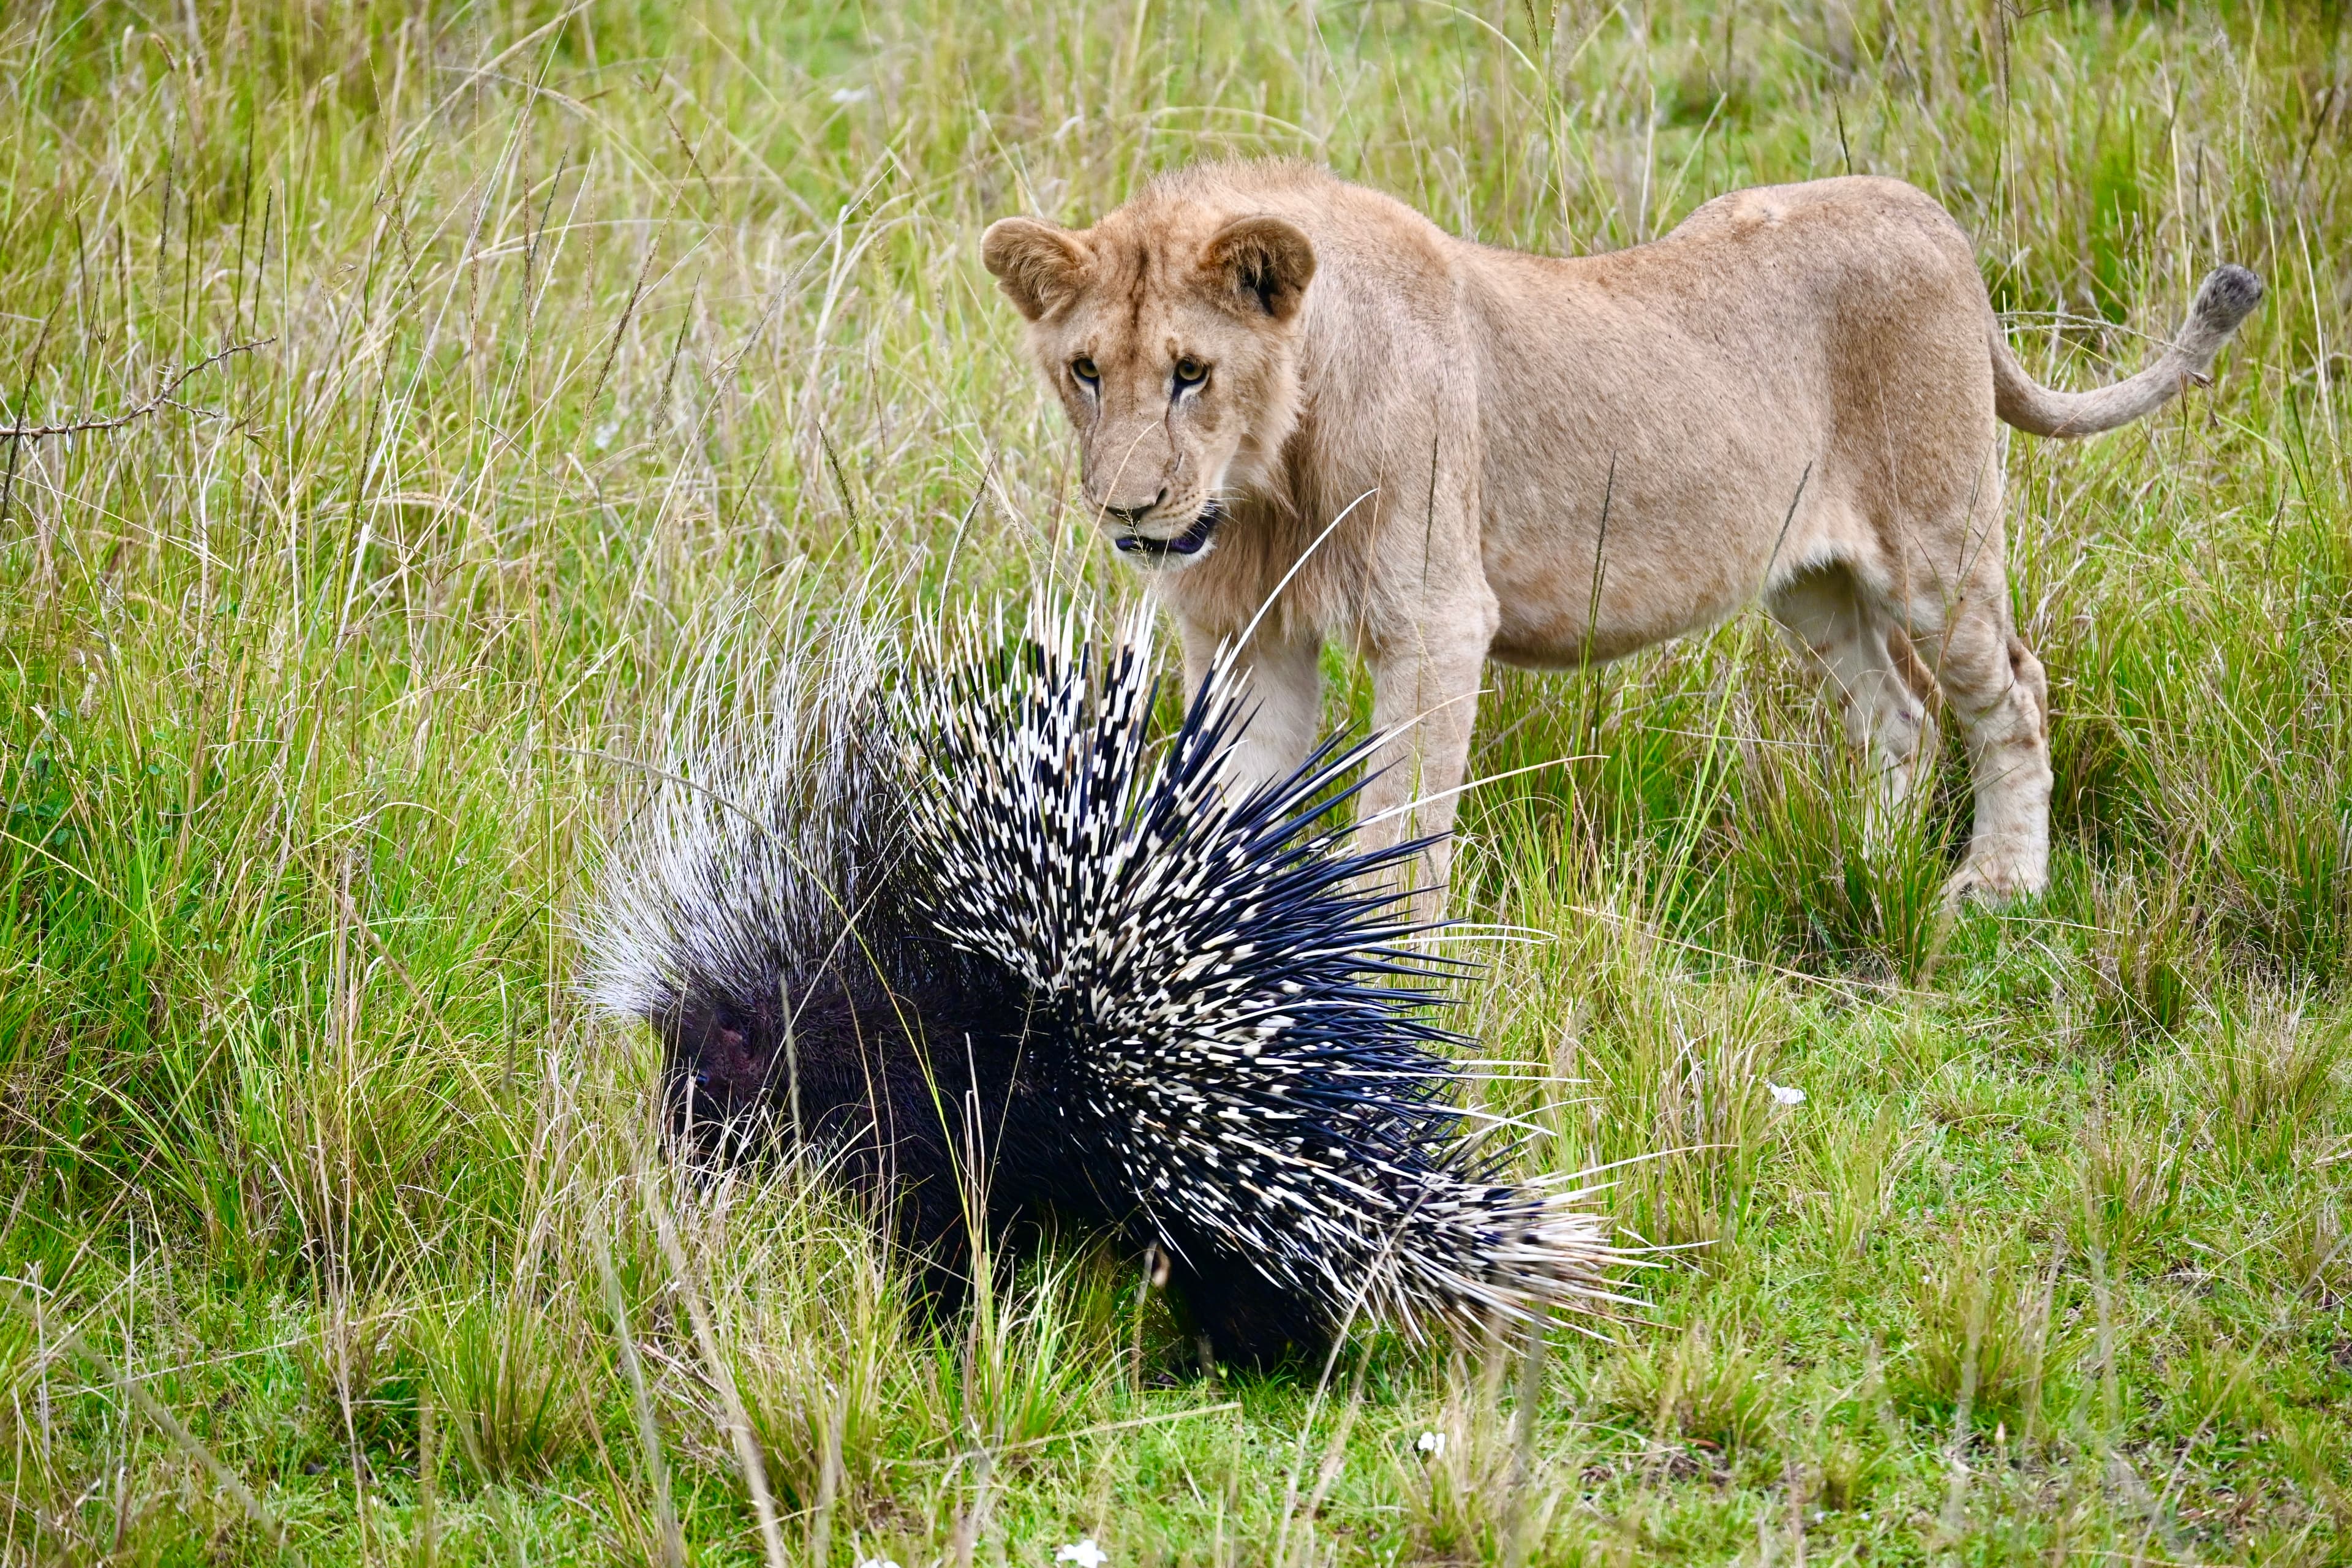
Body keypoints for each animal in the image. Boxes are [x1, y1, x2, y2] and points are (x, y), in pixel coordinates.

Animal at [982, 160, 2259, 913]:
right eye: (1086, 371)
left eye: (1192, 373)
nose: (1128, 508)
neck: (1264, 485)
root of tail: (1924, 209)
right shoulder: (1247, 638)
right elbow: (1233, 818)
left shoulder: (1438, 618)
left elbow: (1399, 822)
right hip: (1805, 576)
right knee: (1899, 708)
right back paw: (1868, 864)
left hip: (1935, 543)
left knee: (2013, 695)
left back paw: (1996, 888)